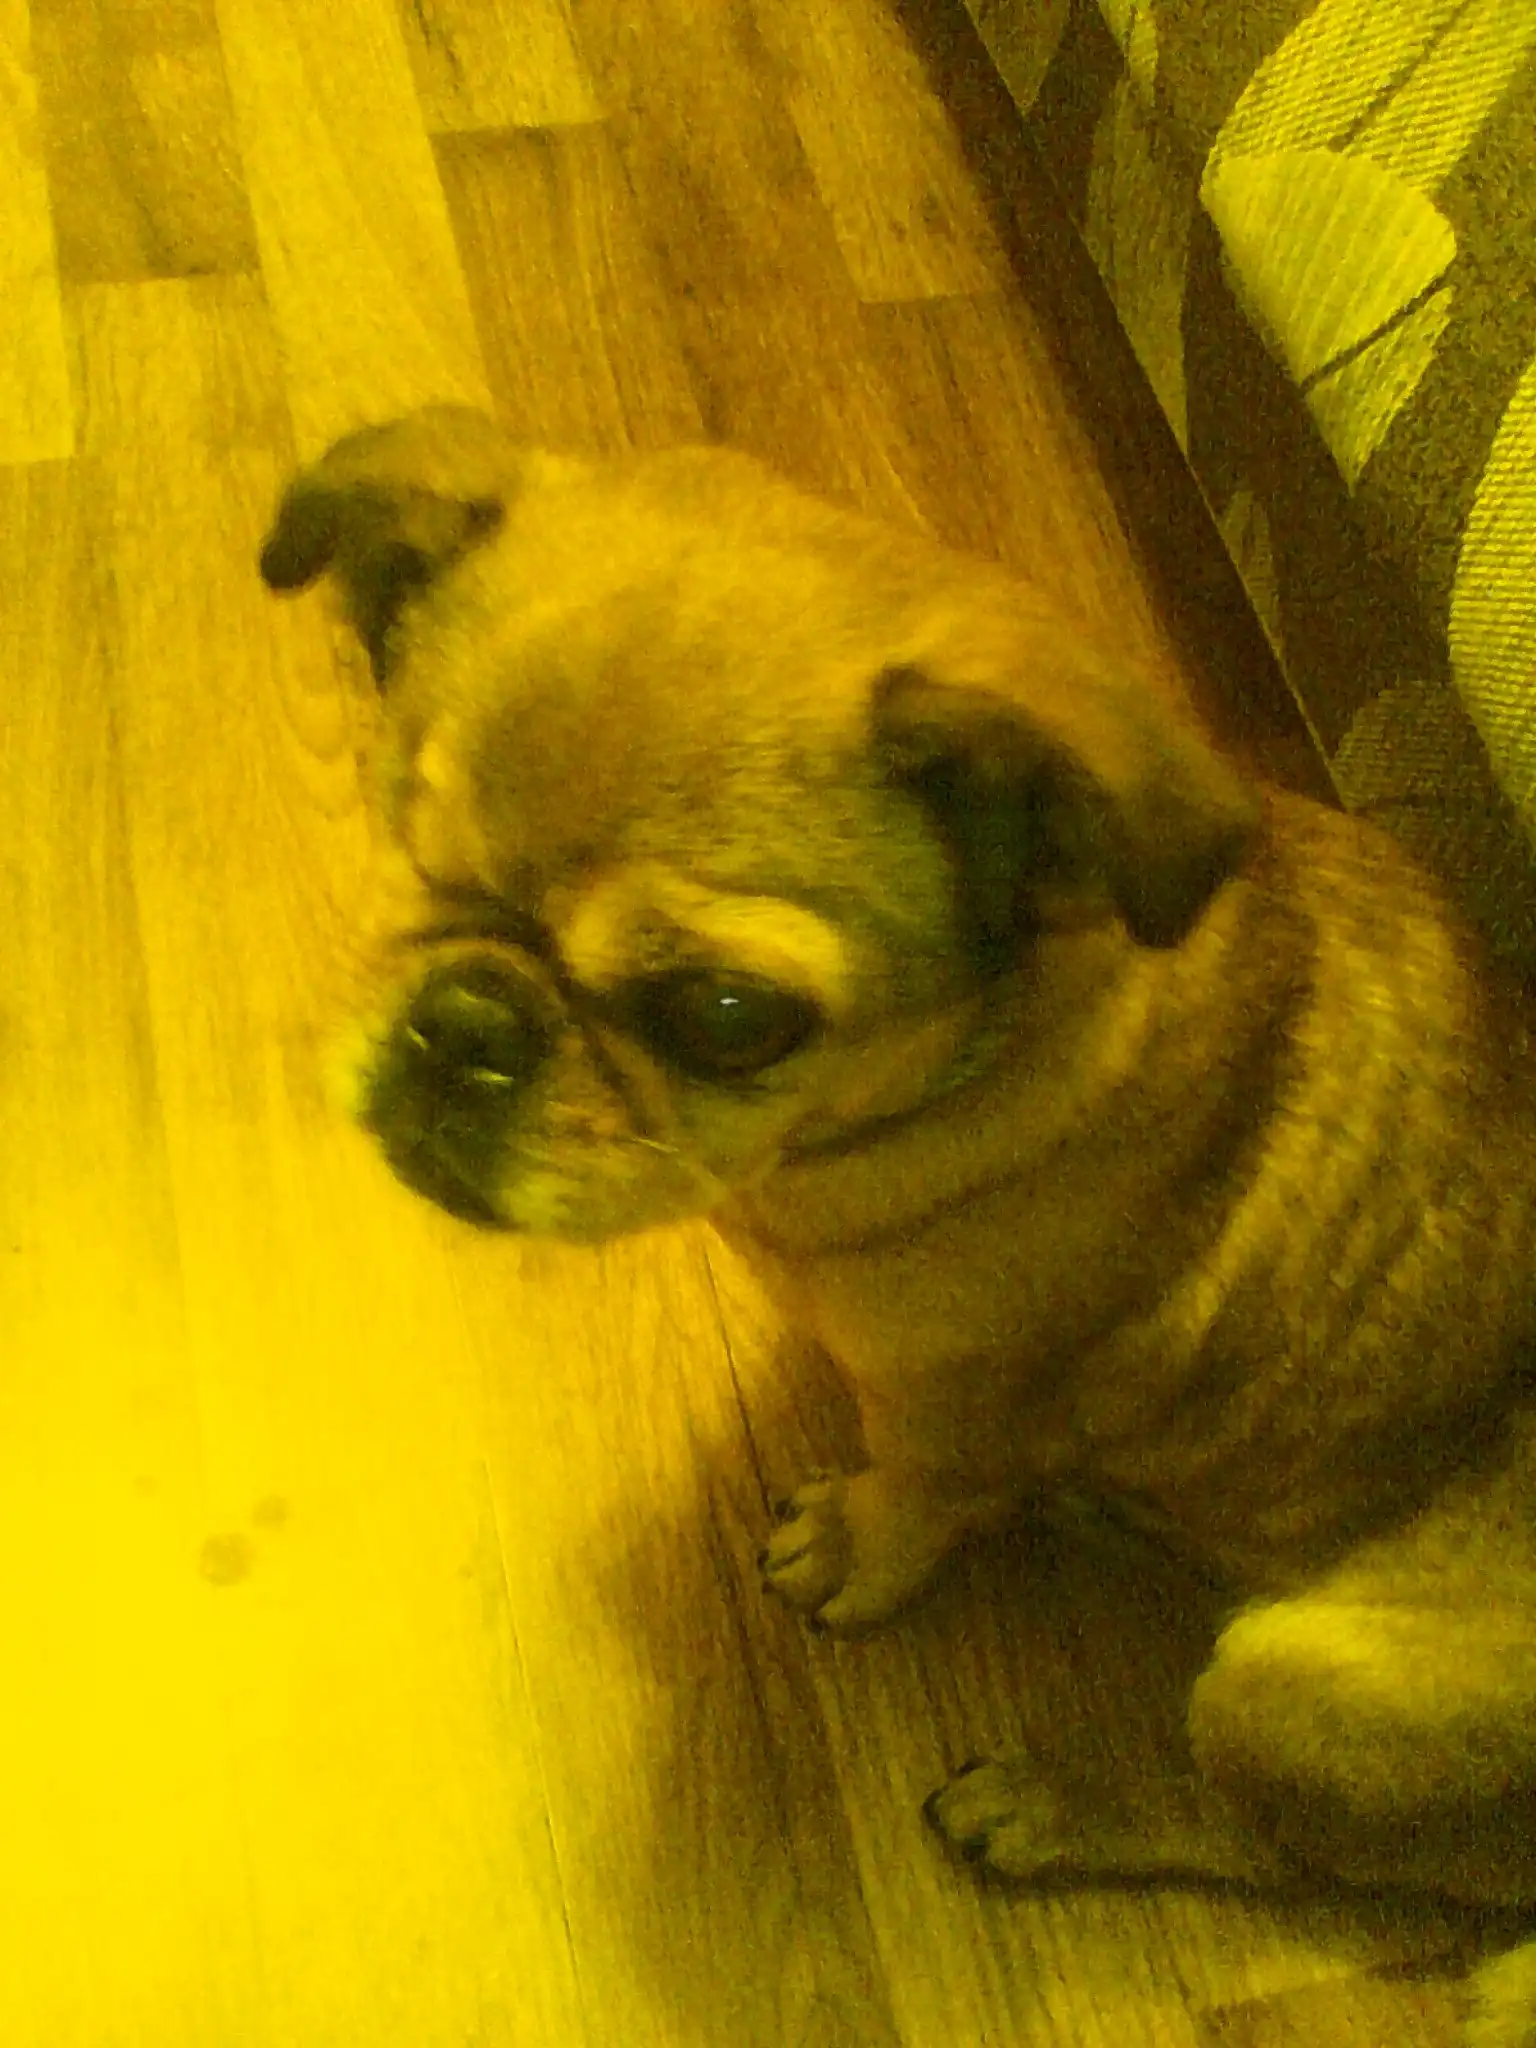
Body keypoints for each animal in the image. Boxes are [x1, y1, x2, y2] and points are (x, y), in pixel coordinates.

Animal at [262, 406, 1536, 2042]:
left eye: (729, 1017)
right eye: (409, 845)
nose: (464, 1025)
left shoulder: (958, 1411)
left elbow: (919, 1492)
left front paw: (862, 1546)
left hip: (1290, 1681)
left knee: (1273, 1843)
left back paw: (1059, 1805)